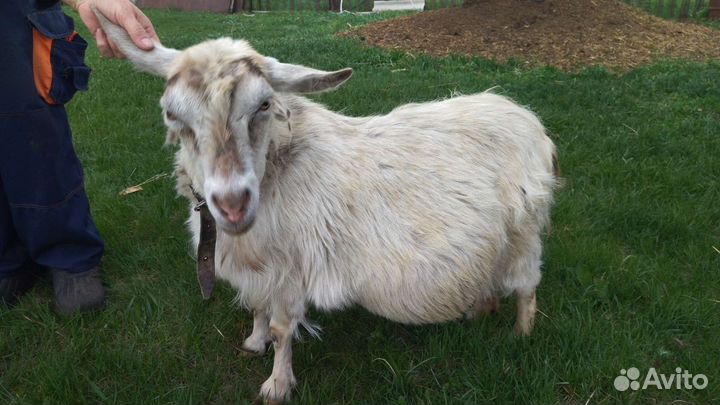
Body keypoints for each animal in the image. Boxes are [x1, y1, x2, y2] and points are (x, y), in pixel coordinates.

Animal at [97, 12, 558, 403]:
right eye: (172, 115)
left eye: (264, 105)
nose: (232, 204)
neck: (278, 170)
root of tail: (527, 118)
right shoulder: (260, 271)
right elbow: (258, 308)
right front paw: (254, 342)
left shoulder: (291, 270)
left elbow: (283, 328)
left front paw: (277, 384)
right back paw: (480, 311)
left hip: (525, 234)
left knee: (527, 287)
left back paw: (521, 334)